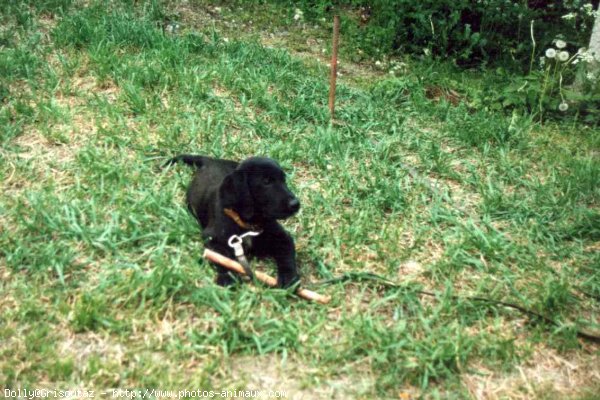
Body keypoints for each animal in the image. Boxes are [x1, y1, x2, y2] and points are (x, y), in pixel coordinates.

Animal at [168, 153, 300, 288]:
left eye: (284, 180)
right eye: (266, 181)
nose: (296, 204)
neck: (248, 224)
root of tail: (211, 160)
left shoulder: (282, 237)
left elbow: (287, 256)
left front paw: (289, 277)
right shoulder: (211, 239)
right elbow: (222, 259)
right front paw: (228, 278)